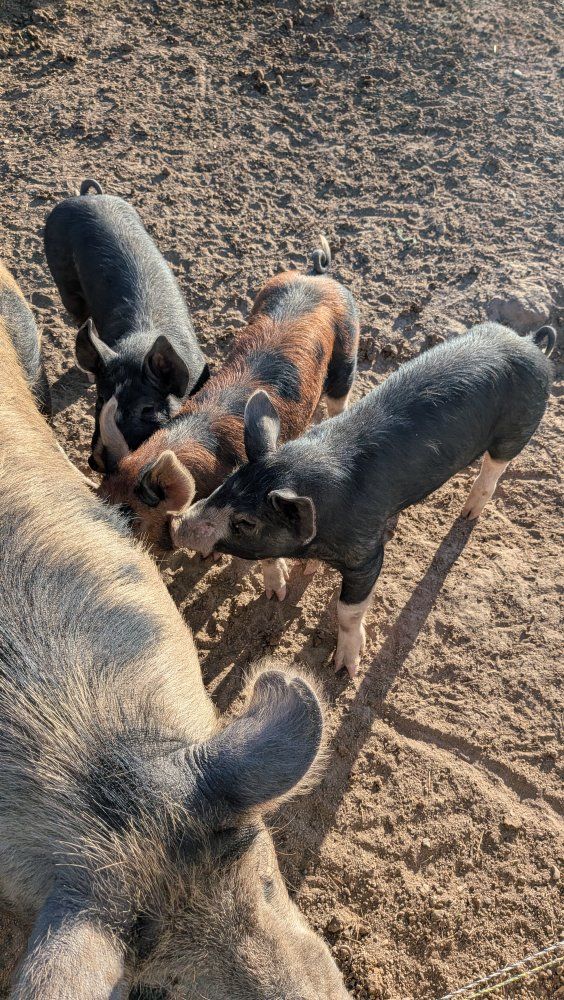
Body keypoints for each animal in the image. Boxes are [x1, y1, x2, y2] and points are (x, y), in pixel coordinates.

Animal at [44, 179, 209, 472]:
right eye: (100, 400)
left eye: (147, 409)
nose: (97, 461)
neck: (139, 346)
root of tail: (86, 198)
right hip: (63, 281)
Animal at [100, 241, 360, 600]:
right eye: (99, 497)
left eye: (130, 519)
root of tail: (316, 275)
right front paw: (207, 555)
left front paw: (276, 595)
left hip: (347, 355)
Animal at [173, 322, 556, 677]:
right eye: (227, 483)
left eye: (246, 522)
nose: (178, 526)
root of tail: (529, 342)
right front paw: (280, 591)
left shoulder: (365, 553)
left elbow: (348, 610)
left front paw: (345, 669)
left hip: (517, 430)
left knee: (493, 470)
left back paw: (468, 514)